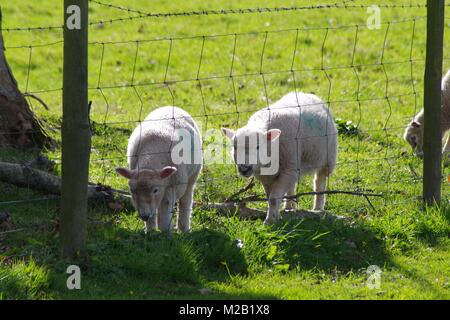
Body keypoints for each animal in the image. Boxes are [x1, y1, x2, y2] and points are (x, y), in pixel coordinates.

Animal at [222, 91, 338, 224]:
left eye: (258, 146)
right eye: (235, 147)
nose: (244, 168)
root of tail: (305, 93)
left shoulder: (287, 168)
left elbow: (273, 199)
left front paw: (270, 221)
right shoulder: (266, 176)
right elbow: (270, 198)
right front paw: (276, 216)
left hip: (327, 158)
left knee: (319, 183)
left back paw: (318, 209)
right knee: (291, 186)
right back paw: (289, 208)